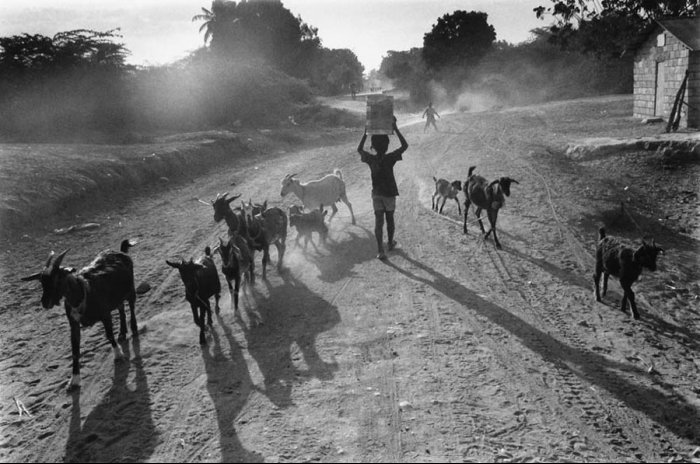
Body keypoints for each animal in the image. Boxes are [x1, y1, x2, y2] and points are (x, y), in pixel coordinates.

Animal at [21, 239, 139, 392]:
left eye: (58, 278)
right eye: (42, 281)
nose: (45, 302)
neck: (82, 293)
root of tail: (120, 251)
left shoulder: (105, 314)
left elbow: (109, 335)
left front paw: (118, 354)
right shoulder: (74, 324)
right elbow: (75, 350)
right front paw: (74, 381)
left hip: (130, 290)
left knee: (131, 307)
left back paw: (134, 329)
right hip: (117, 297)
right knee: (121, 309)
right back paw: (122, 333)